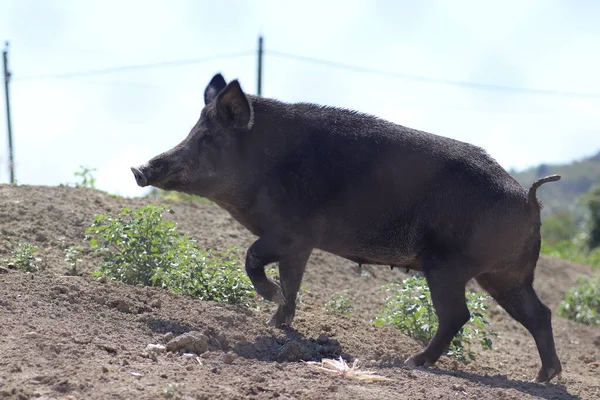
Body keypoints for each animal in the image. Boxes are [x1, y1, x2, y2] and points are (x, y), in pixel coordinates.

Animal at [132, 72, 564, 382]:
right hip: (505, 275)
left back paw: (411, 362)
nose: (139, 168)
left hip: (447, 264)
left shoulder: (293, 231)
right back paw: (543, 378)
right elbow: (292, 281)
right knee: (539, 313)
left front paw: (269, 301)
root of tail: (529, 199)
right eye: (192, 131)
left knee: (458, 314)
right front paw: (277, 322)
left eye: (207, 137)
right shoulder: (300, 244)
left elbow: (253, 258)